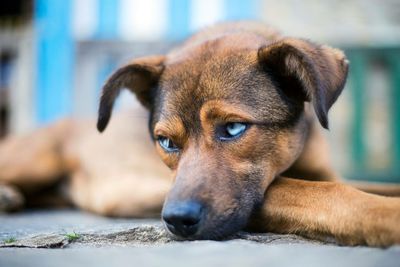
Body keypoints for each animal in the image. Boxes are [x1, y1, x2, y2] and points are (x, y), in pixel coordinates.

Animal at [0, 21, 400, 247]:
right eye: (165, 142)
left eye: (233, 128)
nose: (177, 220)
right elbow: (328, 194)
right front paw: (386, 217)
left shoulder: (327, 173)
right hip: (34, 160)